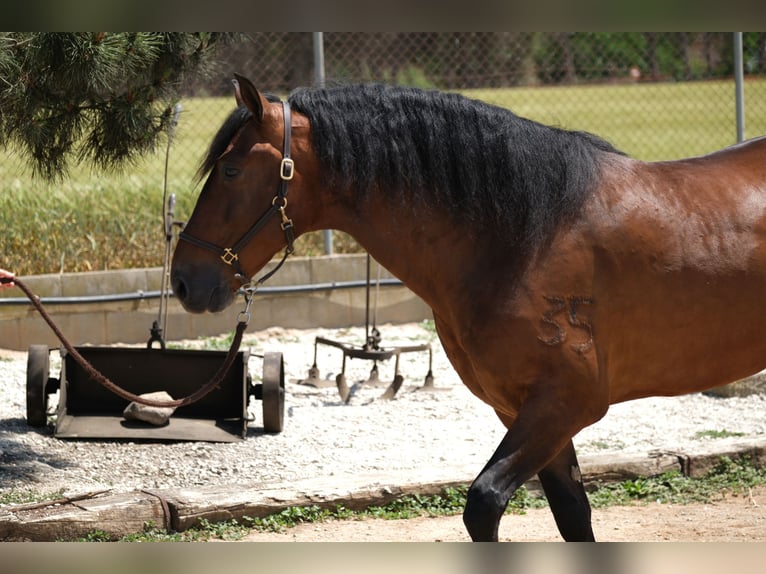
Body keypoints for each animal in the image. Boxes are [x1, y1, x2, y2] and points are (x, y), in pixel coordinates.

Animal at [171, 74, 766, 544]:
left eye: (230, 170)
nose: (182, 280)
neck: (523, 238)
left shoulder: (566, 402)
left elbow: (483, 503)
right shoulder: (525, 410)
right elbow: (573, 516)